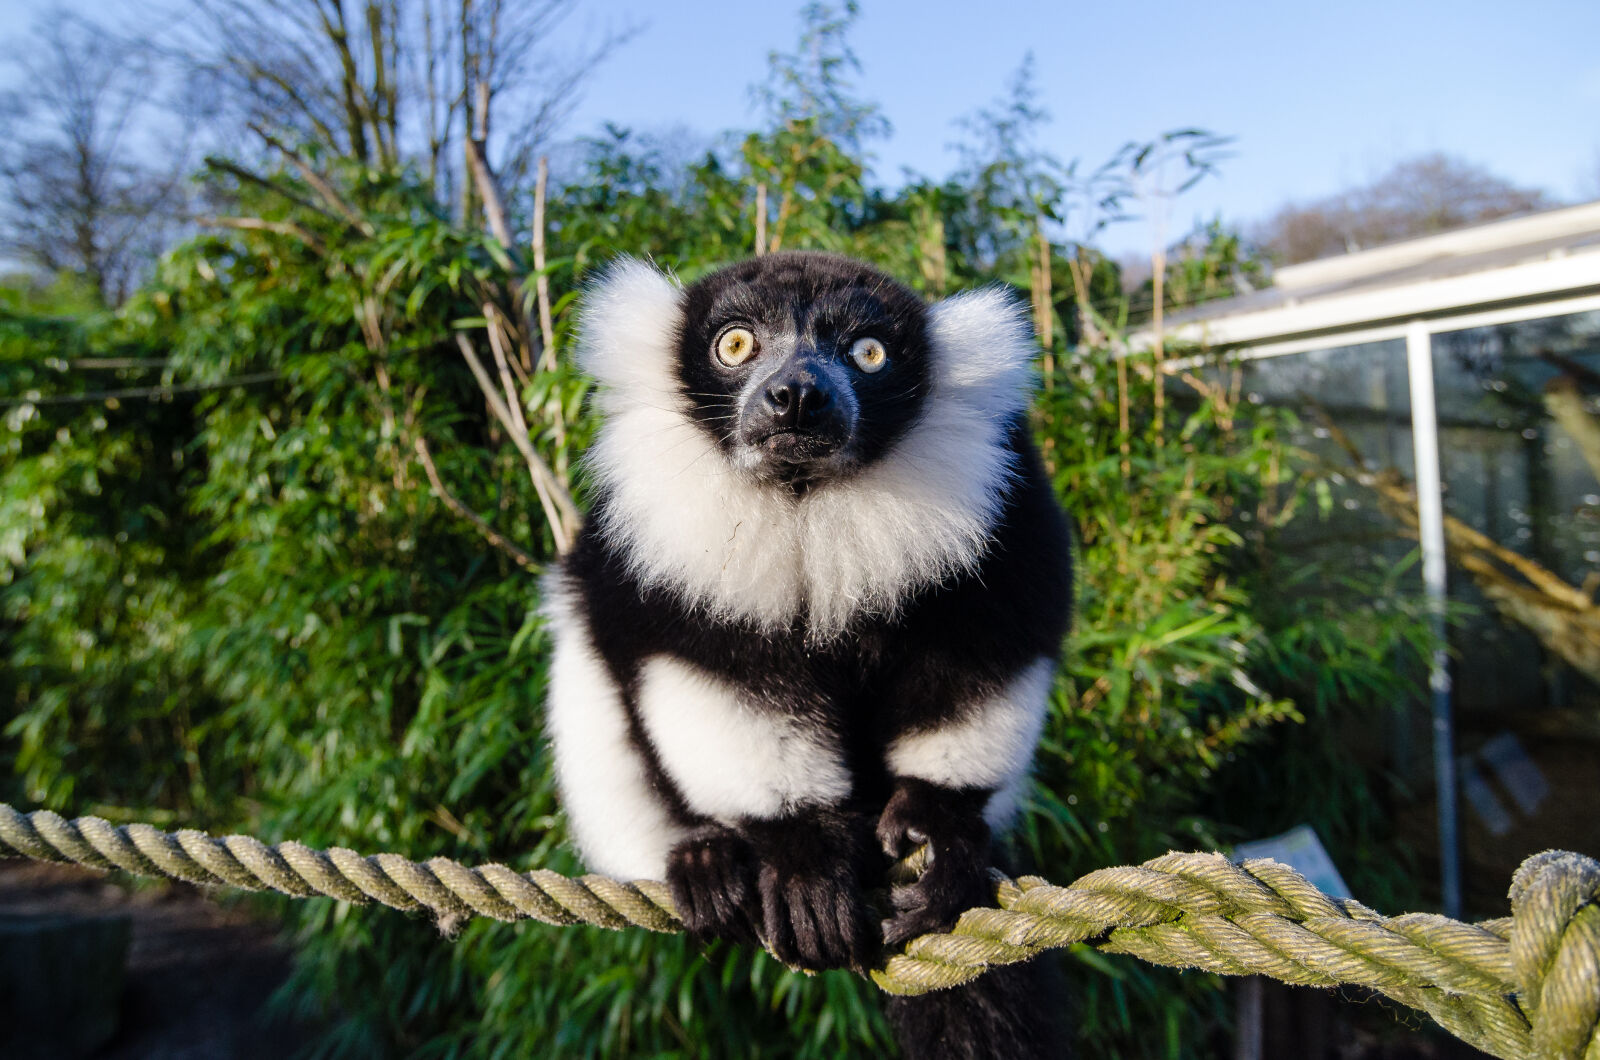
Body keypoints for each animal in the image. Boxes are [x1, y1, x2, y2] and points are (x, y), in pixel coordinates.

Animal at [542, 251, 1074, 1058]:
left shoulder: (1007, 492)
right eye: (735, 345)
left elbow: (993, 634)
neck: (805, 497)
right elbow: (707, 660)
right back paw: (705, 857)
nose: (796, 396)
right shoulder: (654, 536)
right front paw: (803, 856)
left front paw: (936, 822)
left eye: (869, 352)